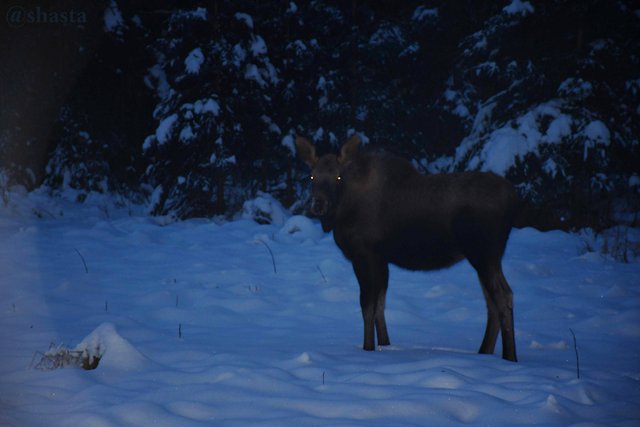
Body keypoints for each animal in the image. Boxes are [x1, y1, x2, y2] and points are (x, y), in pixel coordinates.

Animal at [296, 135, 520, 362]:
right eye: (312, 177)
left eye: (338, 177)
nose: (319, 204)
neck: (342, 212)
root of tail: (513, 198)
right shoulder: (381, 259)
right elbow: (380, 305)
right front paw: (385, 344)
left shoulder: (364, 254)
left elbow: (367, 304)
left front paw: (368, 348)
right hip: (487, 257)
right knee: (493, 301)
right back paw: (485, 352)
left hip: (483, 252)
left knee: (503, 296)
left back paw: (509, 356)